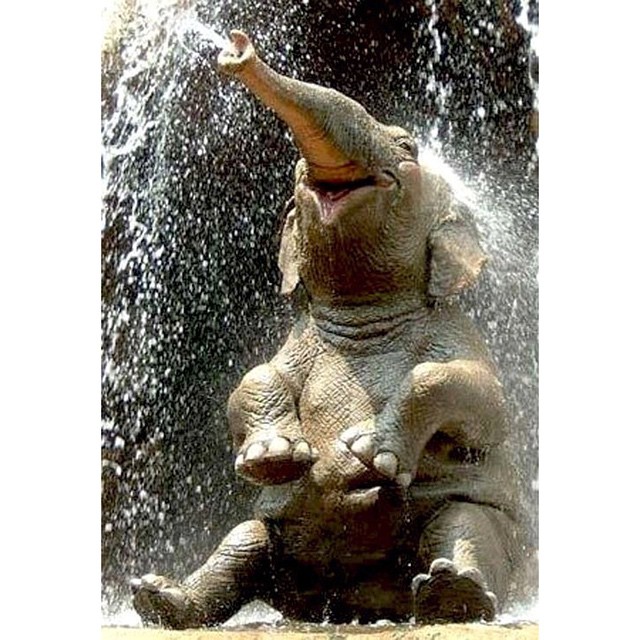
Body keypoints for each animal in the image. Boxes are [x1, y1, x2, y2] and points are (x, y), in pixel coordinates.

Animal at [131, 31, 524, 632]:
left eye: (407, 147)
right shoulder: (299, 342)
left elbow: (483, 400)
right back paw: (161, 600)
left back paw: (451, 594)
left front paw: (368, 452)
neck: (365, 313)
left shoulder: (455, 330)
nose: (237, 49)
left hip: (482, 520)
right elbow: (252, 379)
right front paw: (274, 457)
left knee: (465, 522)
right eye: (296, 173)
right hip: (277, 545)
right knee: (242, 541)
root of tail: (356, 603)